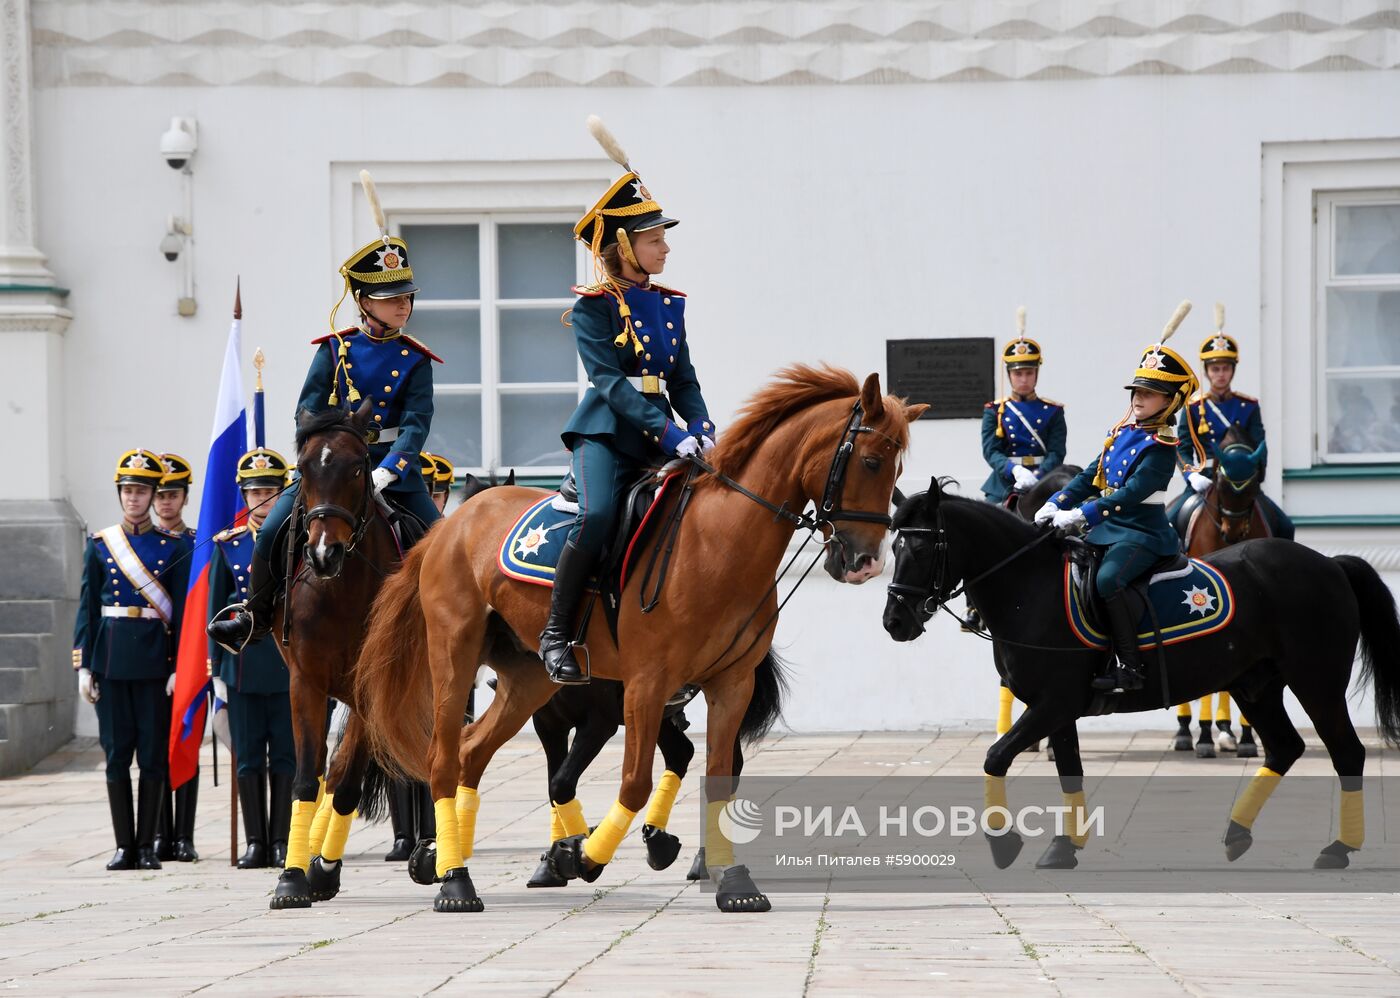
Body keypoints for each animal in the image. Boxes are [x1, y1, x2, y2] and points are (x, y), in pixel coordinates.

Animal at [355, 363, 924, 912]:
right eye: (872, 461)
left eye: (897, 469)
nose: (866, 563)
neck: (720, 539)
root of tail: (450, 525)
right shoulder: (645, 685)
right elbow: (632, 782)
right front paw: (580, 855)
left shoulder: (730, 683)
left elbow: (718, 772)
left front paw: (733, 882)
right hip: (454, 656)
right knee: (443, 759)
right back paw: (455, 882)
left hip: (529, 678)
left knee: (472, 753)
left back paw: (443, 859)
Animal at [884, 481, 1400, 873]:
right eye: (894, 546)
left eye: (924, 546)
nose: (895, 621)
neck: (1030, 589)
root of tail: (1329, 563)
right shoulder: (1058, 708)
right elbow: (1069, 771)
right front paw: (1064, 847)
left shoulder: (1054, 703)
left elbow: (995, 756)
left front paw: (1005, 843)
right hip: (1256, 686)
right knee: (1286, 747)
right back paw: (1237, 834)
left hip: (1317, 681)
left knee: (1346, 752)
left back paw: (1338, 848)